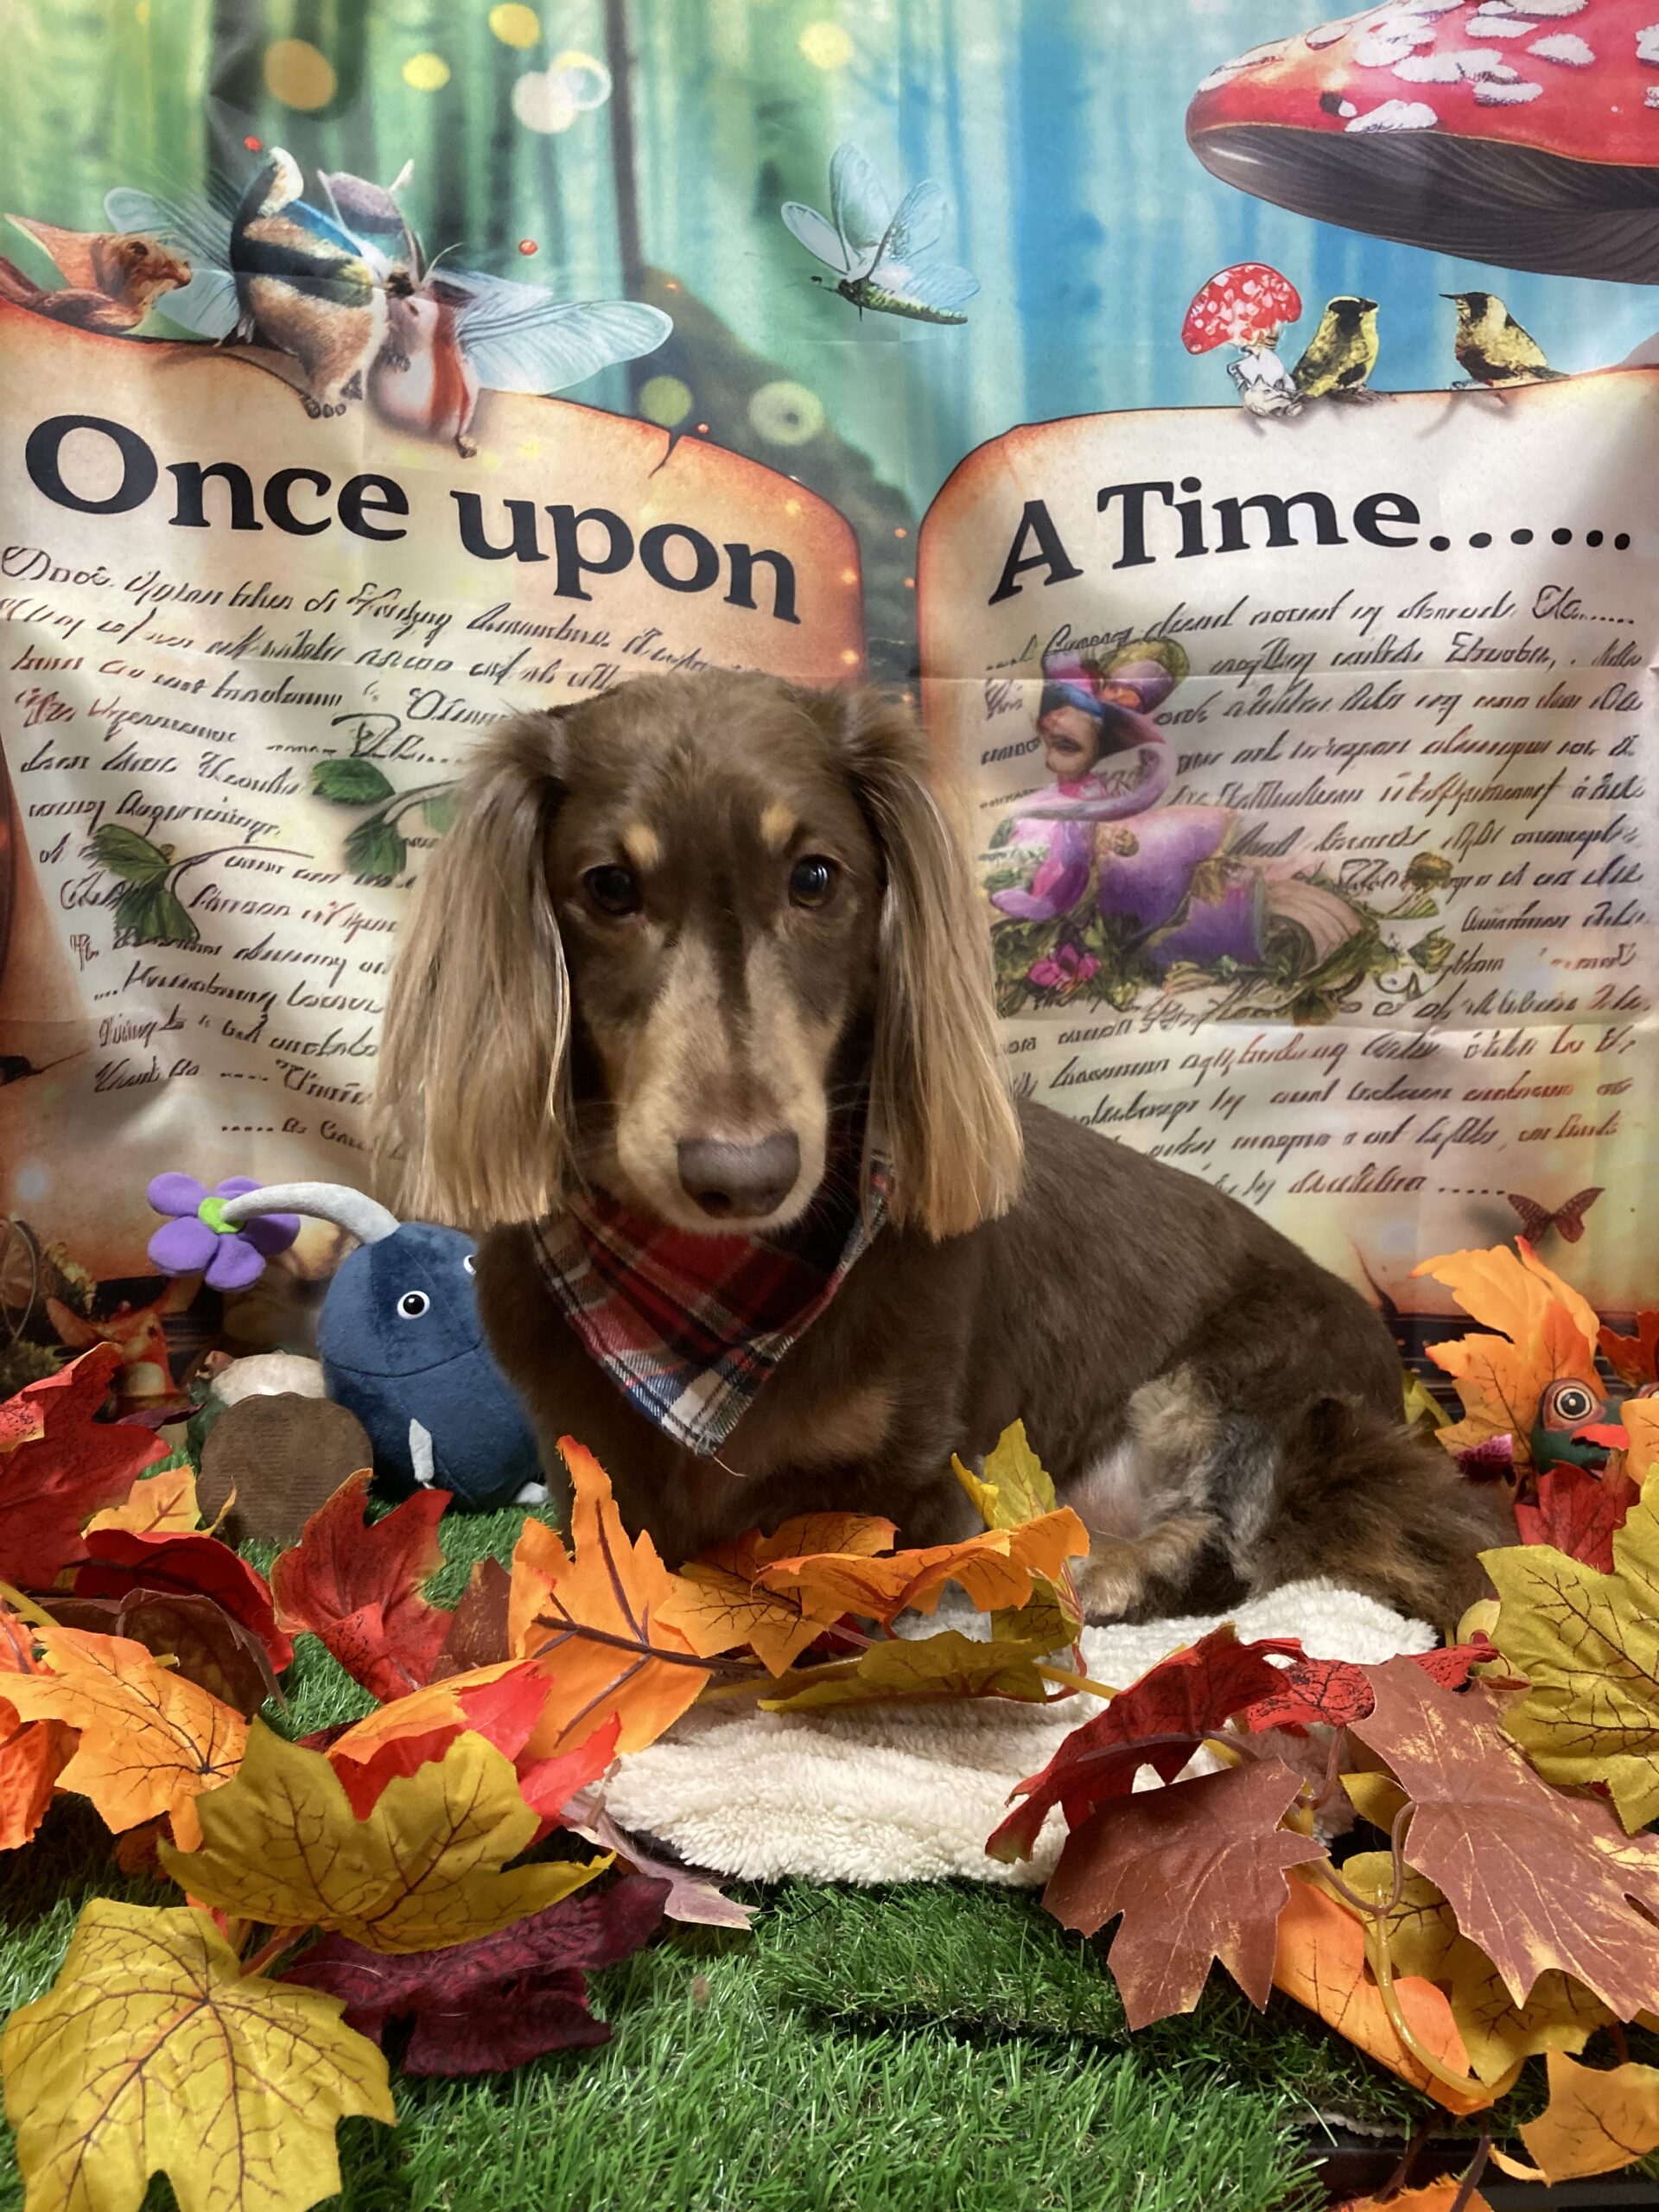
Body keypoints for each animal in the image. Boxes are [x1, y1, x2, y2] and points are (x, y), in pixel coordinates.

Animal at [375, 671, 1505, 1628]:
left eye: (816, 877)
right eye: (609, 887)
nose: (743, 1175)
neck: (712, 1306)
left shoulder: (910, 1480)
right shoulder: (592, 1464)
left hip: (1245, 1391)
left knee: (1246, 1546)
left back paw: (1121, 1570)